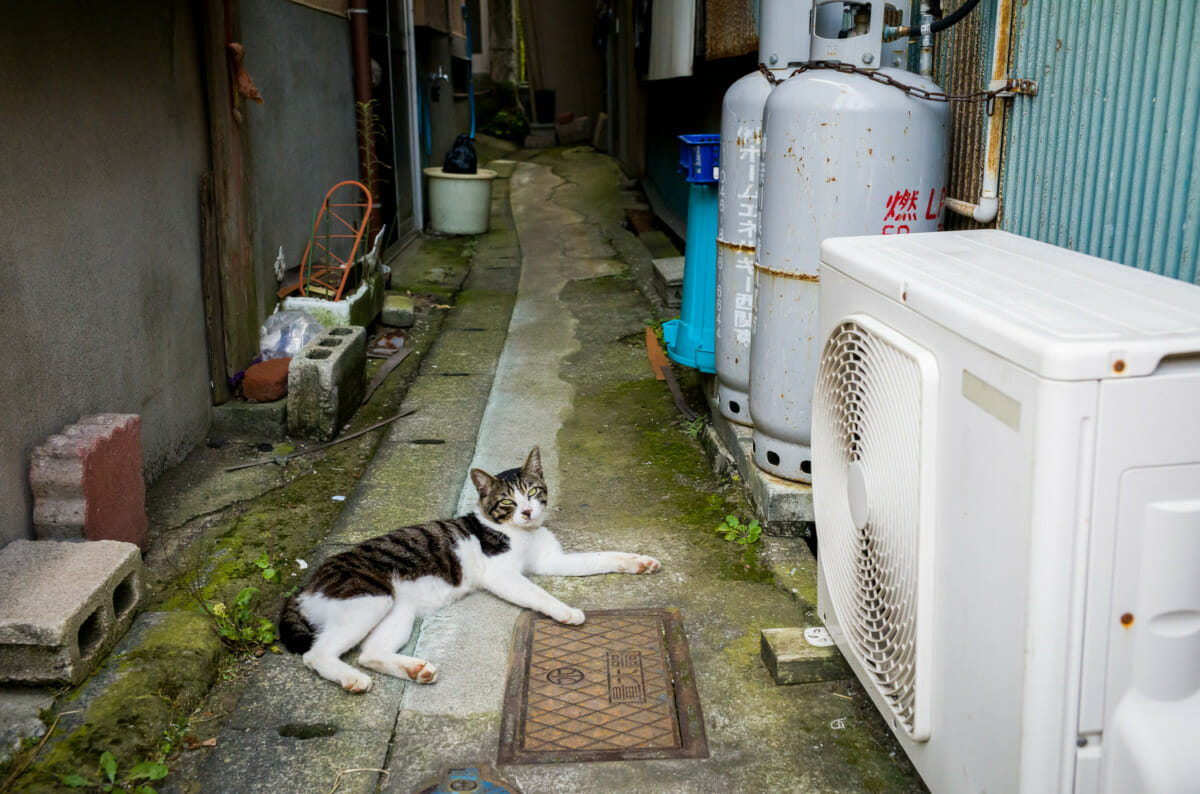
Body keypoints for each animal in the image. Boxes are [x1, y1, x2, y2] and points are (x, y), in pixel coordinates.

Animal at [277, 450, 662, 695]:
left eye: (533, 492)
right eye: (507, 502)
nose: (526, 512)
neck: (521, 533)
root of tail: (304, 586)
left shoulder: (552, 560)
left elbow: (600, 557)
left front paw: (638, 561)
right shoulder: (501, 575)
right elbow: (538, 593)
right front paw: (565, 611)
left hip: (397, 612)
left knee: (370, 652)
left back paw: (415, 670)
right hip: (370, 599)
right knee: (316, 655)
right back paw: (351, 679)